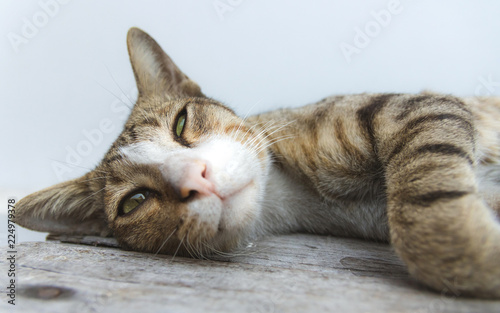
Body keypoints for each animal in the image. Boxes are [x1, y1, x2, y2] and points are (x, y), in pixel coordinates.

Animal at [14, 26, 500, 298]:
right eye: (133, 202)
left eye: (181, 121)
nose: (197, 178)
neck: (293, 196)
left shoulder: (413, 108)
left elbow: (425, 217)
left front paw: (474, 252)